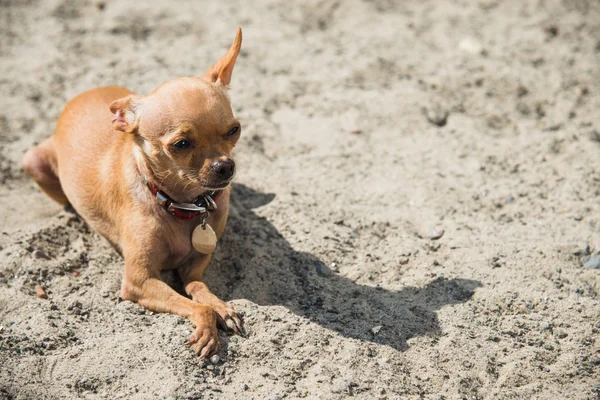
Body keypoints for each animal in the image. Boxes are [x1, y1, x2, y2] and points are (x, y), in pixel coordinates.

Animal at [22, 28, 245, 360]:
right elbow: (197, 306)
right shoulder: (139, 280)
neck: (182, 204)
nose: (225, 166)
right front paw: (208, 324)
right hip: (33, 161)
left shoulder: (197, 260)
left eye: (234, 130)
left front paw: (220, 306)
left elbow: (197, 287)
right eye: (181, 145)